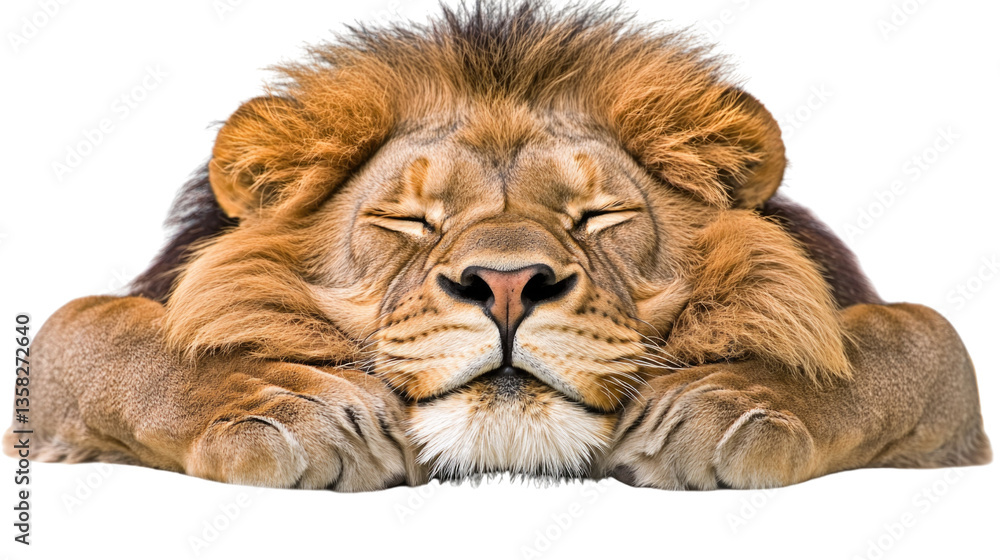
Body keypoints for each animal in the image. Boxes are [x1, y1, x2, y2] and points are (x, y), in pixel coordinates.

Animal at [4, 1, 991, 491]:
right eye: (411, 220)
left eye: (599, 216)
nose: (508, 283)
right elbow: (86, 325)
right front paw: (283, 405)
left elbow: (926, 335)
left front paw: (732, 404)